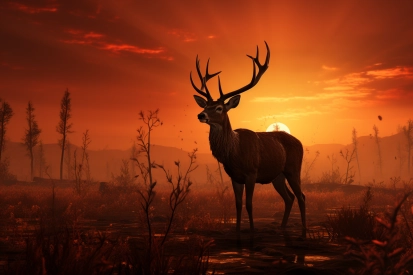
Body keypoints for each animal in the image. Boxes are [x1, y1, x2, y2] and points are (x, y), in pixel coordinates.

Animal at [191, 41, 306, 239]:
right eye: (206, 105)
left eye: (219, 107)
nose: (201, 115)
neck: (234, 153)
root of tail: (300, 142)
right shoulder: (235, 177)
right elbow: (237, 205)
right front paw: (237, 231)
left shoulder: (251, 173)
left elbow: (250, 204)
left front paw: (252, 231)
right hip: (277, 175)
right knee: (289, 197)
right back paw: (282, 228)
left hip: (293, 168)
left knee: (301, 197)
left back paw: (304, 232)